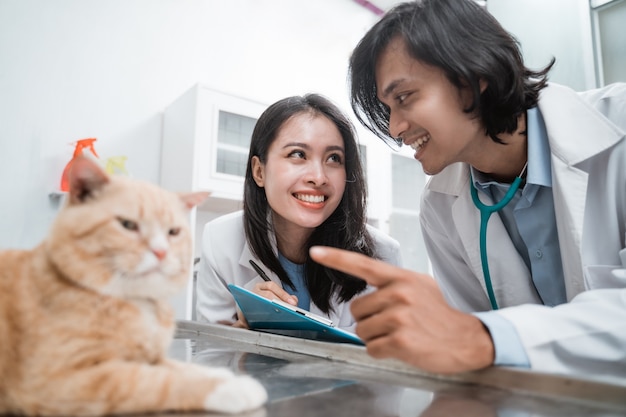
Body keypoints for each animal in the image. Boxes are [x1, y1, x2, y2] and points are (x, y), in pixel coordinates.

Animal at [0, 155, 266, 412]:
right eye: (127, 225)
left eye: (173, 232)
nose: (160, 252)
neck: (139, 303)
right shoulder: (55, 380)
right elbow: (160, 381)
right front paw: (232, 387)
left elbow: (180, 368)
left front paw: (218, 375)